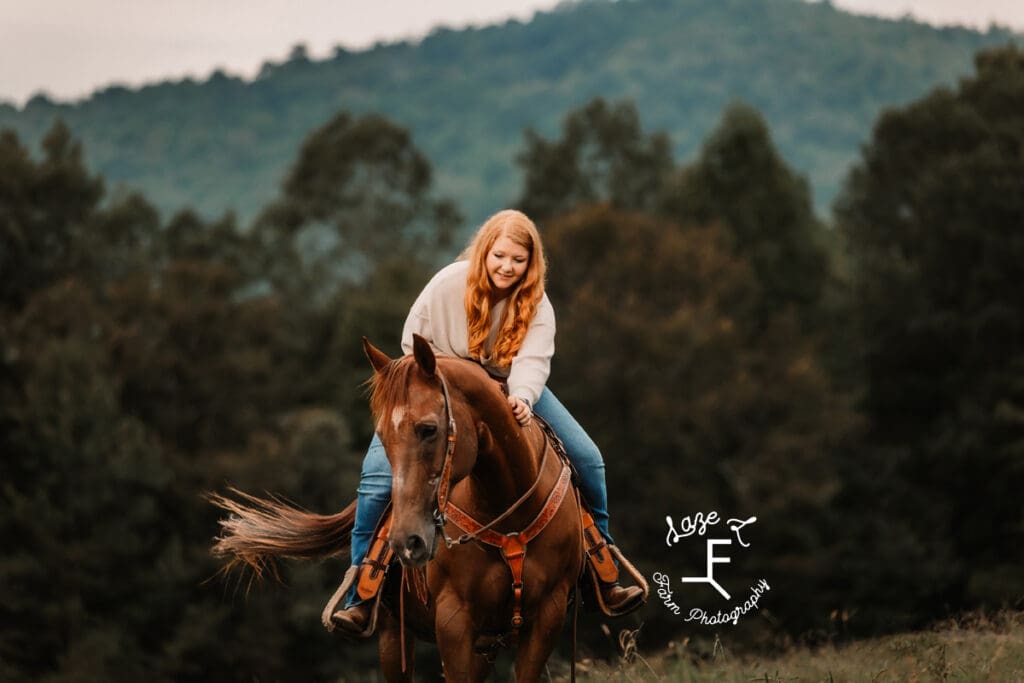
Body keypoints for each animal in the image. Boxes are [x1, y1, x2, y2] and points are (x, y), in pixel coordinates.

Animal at [209, 337, 585, 683]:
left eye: (429, 429)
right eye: (383, 436)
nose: (407, 541)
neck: (509, 518)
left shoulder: (546, 618)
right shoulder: (454, 621)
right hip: (394, 636)